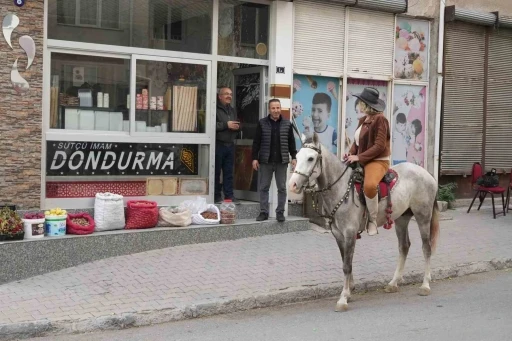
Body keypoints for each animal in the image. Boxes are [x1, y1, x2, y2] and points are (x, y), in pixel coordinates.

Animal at [290, 133, 438, 310]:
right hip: (401, 219)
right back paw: (393, 283)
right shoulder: (338, 235)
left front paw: (343, 299)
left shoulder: (350, 233)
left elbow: (347, 265)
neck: (341, 189)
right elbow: (346, 261)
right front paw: (349, 292)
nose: (293, 184)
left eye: (311, 158)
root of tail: (427, 174)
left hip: (423, 216)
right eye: (297, 156)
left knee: (426, 248)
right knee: (404, 246)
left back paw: (425, 285)